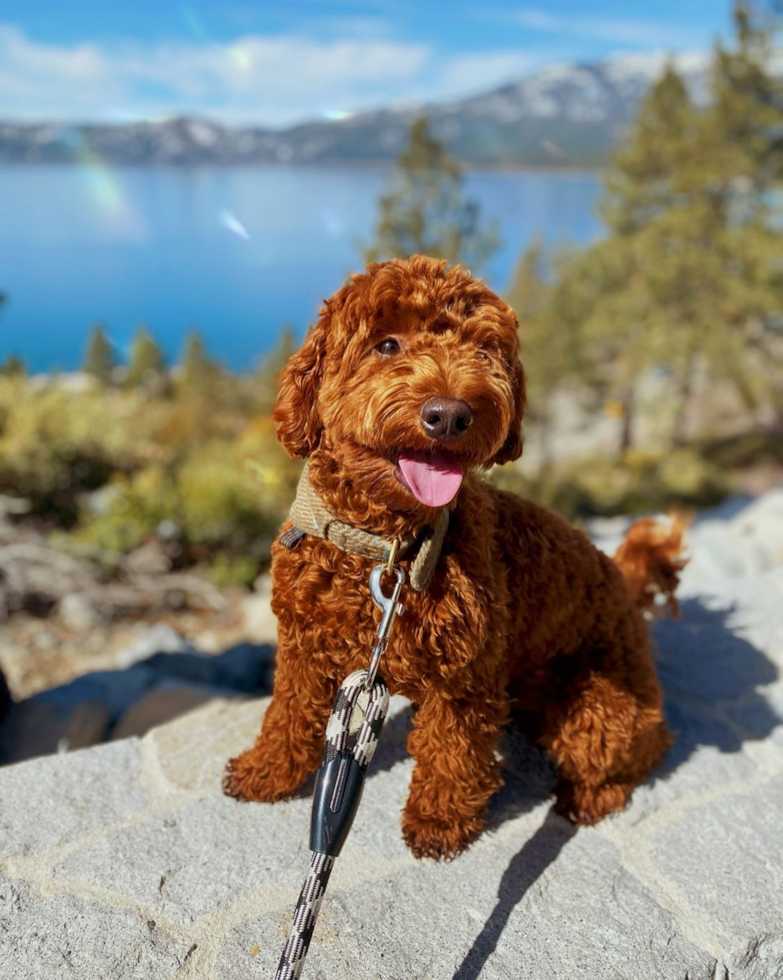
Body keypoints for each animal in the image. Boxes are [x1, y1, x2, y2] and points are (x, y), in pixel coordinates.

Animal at [222, 255, 688, 856]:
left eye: (483, 350)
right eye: (386, 344)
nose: (449, 415)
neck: (387, 548)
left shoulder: (466, 673)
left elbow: (454, 750)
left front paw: (438, 820)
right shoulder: (304, 653)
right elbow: (287, 716)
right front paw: (266, 773)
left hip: (600, 709)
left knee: (626, 758)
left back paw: (586, 798)